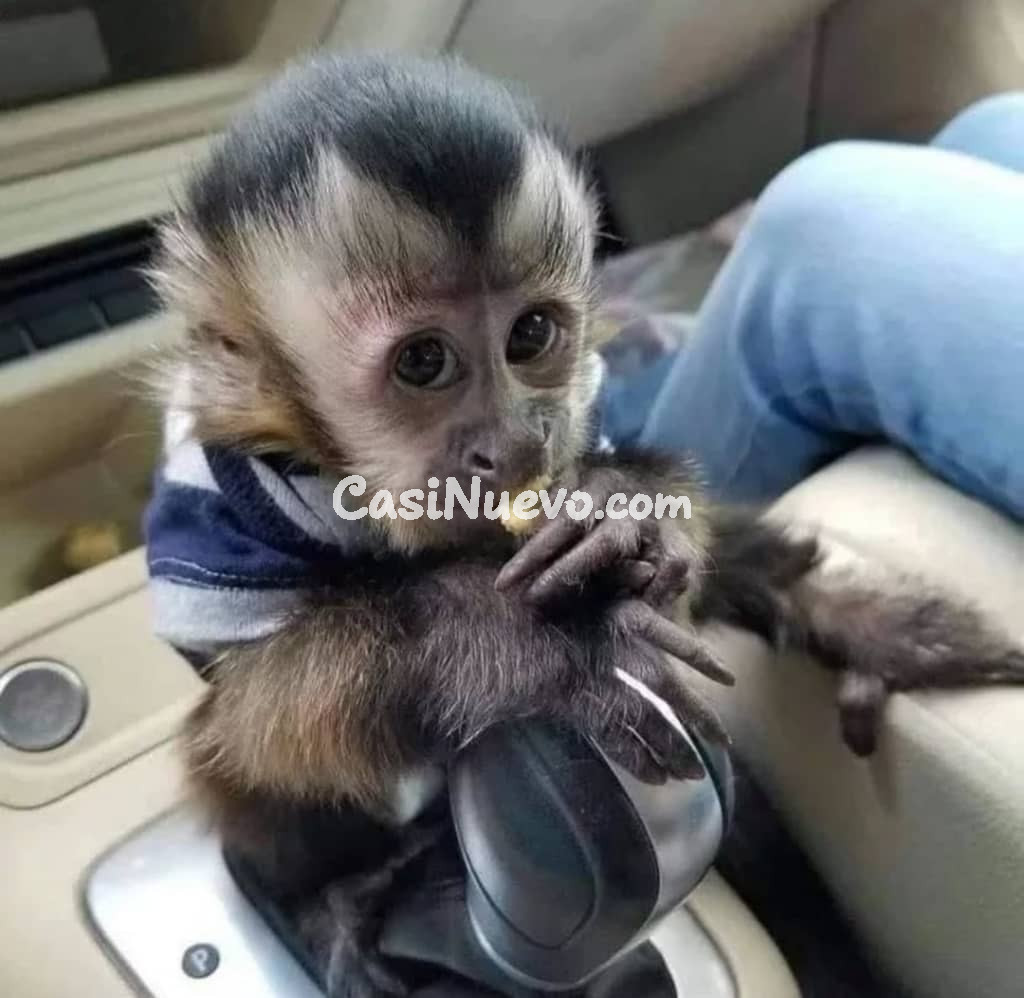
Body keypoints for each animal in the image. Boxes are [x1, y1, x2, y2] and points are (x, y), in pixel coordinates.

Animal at [142, 54, 1024, 997]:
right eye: (424, 361)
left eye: (531, 334)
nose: (515, 440)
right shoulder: (221, 494)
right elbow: (261, 708)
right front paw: (537, 641)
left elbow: (666, 547)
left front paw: (615, 513)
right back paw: (331, 897)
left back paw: (872, 627)